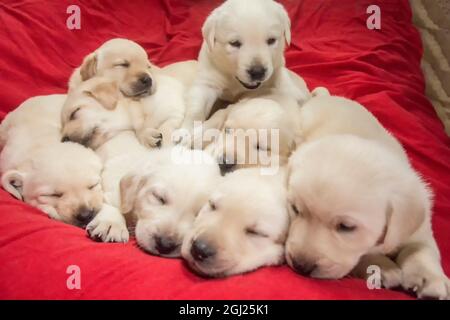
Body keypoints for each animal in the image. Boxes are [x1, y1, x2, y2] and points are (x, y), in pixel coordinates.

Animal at [178, 0, 312, 142]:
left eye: (271, 40)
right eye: (235, 43)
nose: (258, 71)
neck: (234, 80)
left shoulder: (276, 74)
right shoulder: (208, 79)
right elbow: (196, 108)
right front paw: (185, 131)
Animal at [286, 95, 448, 300]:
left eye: (346, 227)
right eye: (295, 209)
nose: (300, 266)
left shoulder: (419, 226)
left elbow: (420, 248)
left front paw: (430, 279)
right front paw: (382, 266)